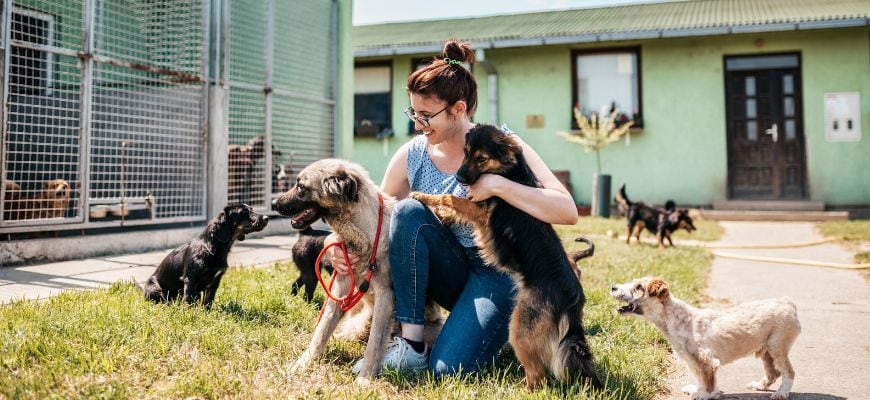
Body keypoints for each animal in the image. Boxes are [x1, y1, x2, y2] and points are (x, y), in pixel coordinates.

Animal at [141, 205, 270, 308]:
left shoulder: (215, 281)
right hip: (154, 288)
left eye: (251, 209)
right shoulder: (190, 279)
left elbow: (208, 300)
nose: (267, 218)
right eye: (243, 212)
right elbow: (189, 300)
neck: (214, 248)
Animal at [410, 124, 604, 390]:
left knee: (538, 376)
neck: (508, 171)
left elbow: (450, 198)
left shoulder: (481, 210)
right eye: (465, 153)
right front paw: (442, 214)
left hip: (519, 329)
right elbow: (454, 205)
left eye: (481, 158)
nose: (459, 178)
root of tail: (572, 298)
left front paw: (423, 197)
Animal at [612, 278, 804, 400]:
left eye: (638, 286)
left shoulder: (706, 361)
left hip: (777, 347)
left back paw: (781, 393)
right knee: (774, 373)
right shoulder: (693, 361)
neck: (678, 320)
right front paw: (698, 389)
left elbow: (708, 381)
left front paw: (706, 395)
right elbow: (700, 378)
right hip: (766, 351)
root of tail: (787, 302)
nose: (613, 287)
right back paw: (759, 386)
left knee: (788, 372)